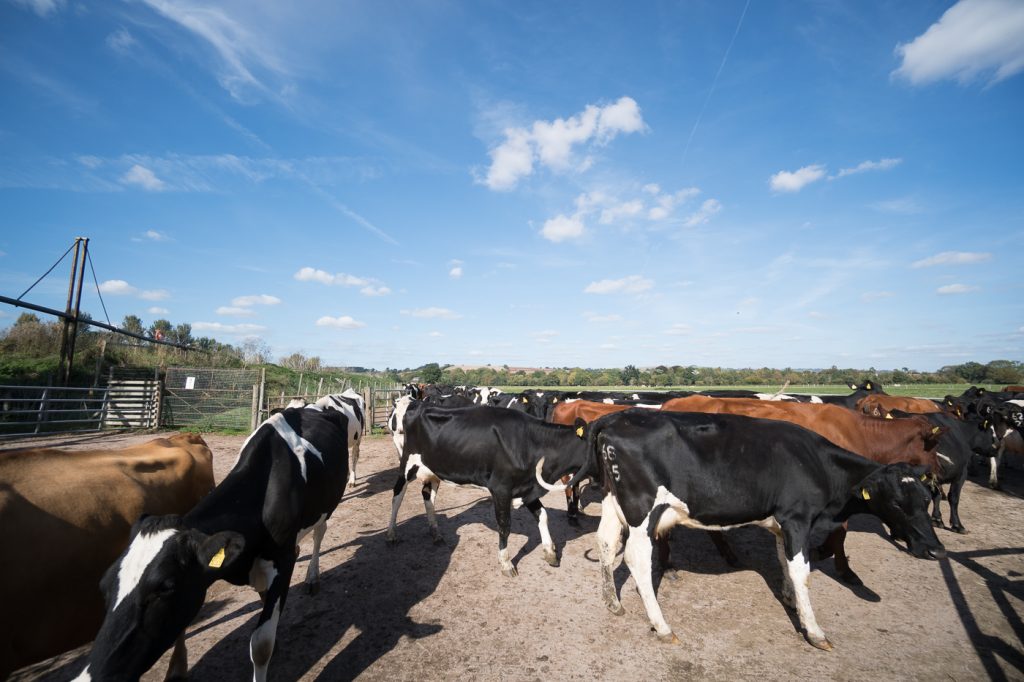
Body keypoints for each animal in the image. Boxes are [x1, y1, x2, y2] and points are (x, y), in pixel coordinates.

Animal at [74, 403, 350, 679]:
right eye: (104, 585)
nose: (87, 677)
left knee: (319, 533)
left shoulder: (282, 558)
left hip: (325, 507)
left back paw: (312, 578)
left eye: (166, 587)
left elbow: (261, 644)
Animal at [387, 401, 589, 577]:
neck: (530, 443)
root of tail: (418, 403)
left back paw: (435, 533)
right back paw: (391, 534)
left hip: (435, 469)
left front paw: (550, 553)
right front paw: (506, 564)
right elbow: (504, 525)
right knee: (397, 495)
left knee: (427, 495)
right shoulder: (501, 488)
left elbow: (543, 516)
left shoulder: (527, 487)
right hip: (407, 462)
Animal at [540, 405, 946, 651]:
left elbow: (783, 563)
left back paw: (613, 603)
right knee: (638, 561)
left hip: (615, 502)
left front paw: (788, 598)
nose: (937, 549)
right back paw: (663, 625)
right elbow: (802, 571)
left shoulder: (782, 524)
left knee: (607, 543)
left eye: (925, 500)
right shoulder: (796, 518)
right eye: (897, 503)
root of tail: (615, 417)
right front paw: (814, 630)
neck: (815, 461)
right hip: (642, 511)